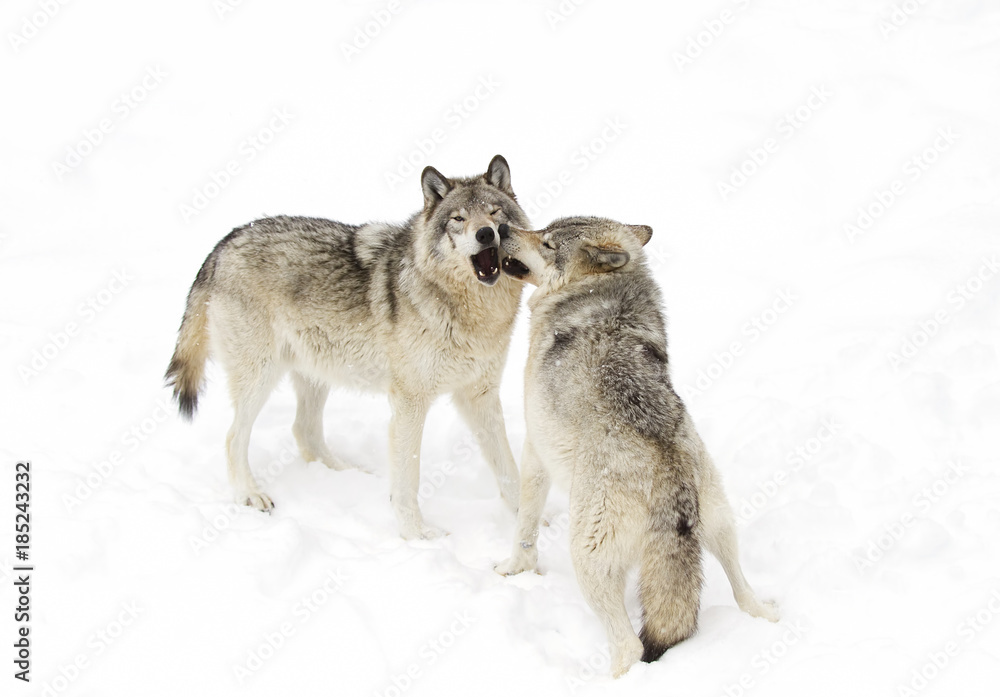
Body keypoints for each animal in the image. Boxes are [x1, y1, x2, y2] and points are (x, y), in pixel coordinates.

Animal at [165, 155, 530, 539]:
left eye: (495, 213)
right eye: (458, 219)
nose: (485, 233)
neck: (470, 312)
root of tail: (225, 240)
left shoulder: (480, 396)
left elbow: (509, 468)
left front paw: (532, 522)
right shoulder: (410, 403)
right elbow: (408, 479)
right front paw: (416, 534)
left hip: (316, 374)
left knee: (305, 432)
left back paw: (347, 473)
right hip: (260, 377)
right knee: (234, 437)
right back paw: (250, 495)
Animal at [495, 217, 779, 677]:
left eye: (548, 242)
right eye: (542, 228)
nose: (501, 228)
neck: (592, 293)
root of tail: (672, 483)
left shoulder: (536, 451)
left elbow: (524, 525)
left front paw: (512, 569)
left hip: (588, 559)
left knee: (629, 646)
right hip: (721, 524)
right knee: (742, 590)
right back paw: (767, 613)